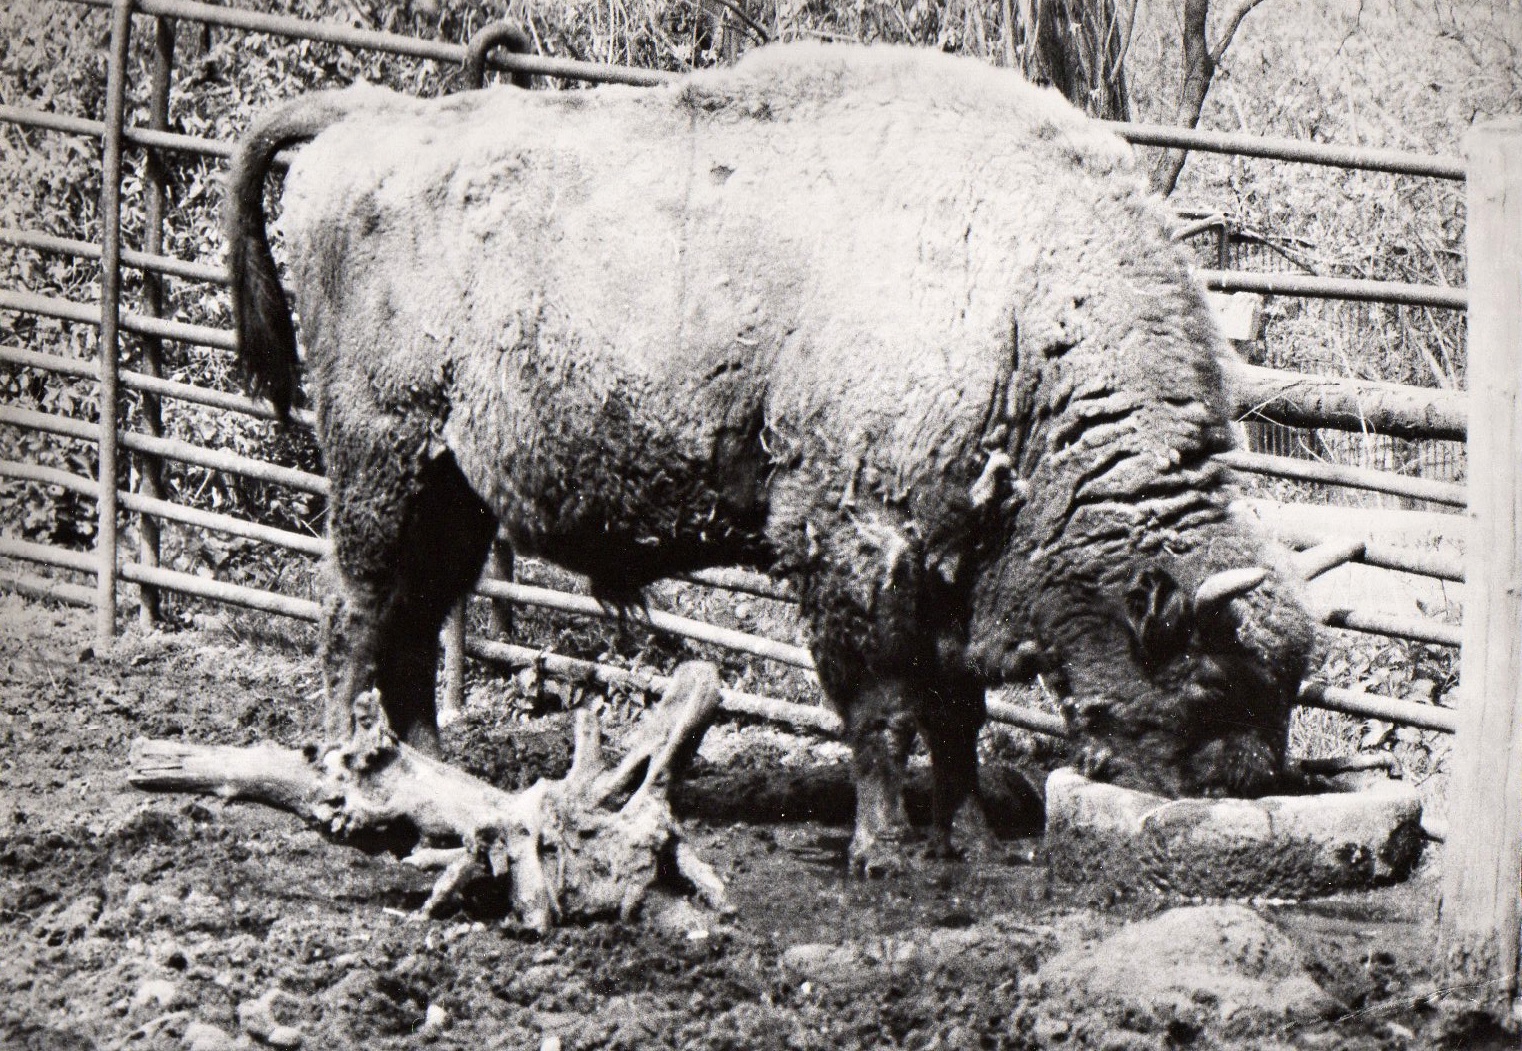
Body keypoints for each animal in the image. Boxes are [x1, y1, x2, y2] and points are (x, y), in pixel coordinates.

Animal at [227, 44, 1317, 876]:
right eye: (1213, 682)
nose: (1257, 780)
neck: (1018, 311)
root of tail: (362, 123)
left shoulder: (948, 571)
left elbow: (953, 713)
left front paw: (964, 836)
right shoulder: (852, 548)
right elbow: (881, 710)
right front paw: (882, 850)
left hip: (453, 492)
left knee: (412, 626)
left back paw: (438, 779)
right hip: (383, 461)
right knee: (353, 613)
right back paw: (347, 777)